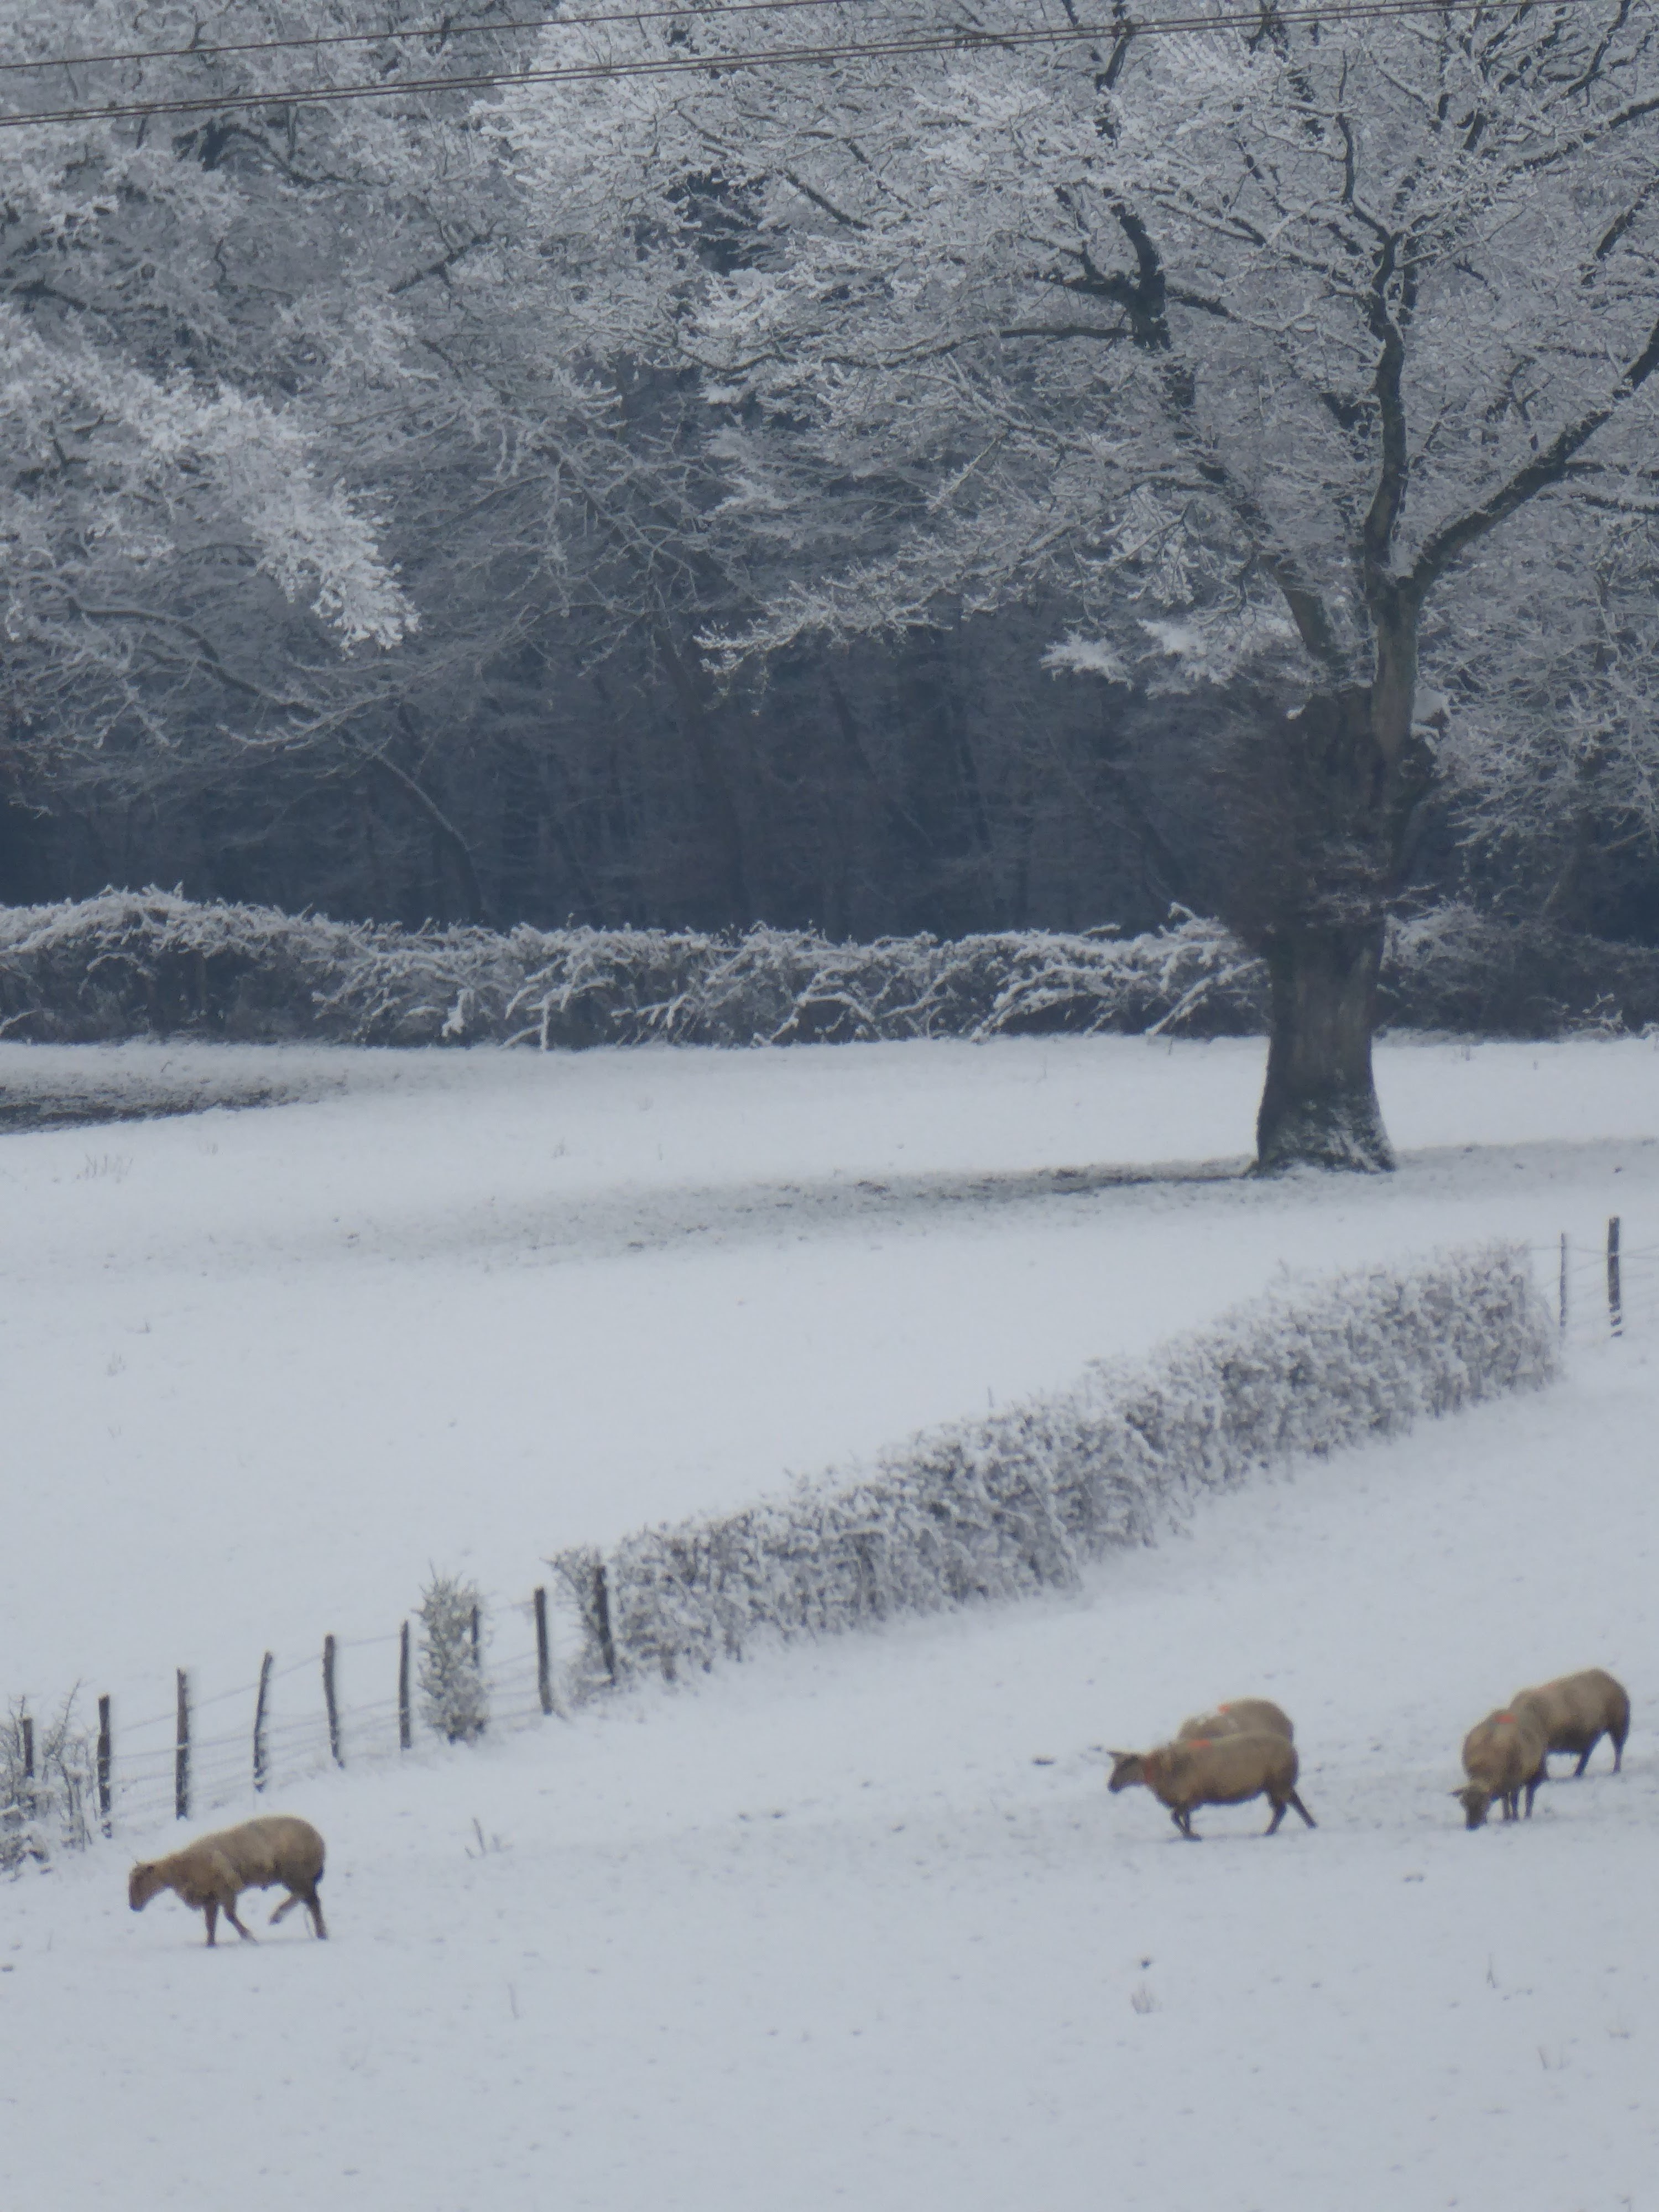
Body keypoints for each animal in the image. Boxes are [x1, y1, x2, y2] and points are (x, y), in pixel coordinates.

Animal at [128, 1814, 327, 1955]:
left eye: (139, 1880)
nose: (132, 1906)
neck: (180, 1868)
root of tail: (319, 1840)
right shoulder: (210, 1897)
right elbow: (210, 1924)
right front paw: (210, 1944)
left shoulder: (226, 1888)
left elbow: (229, 1916)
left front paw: (249, 1936)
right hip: (295, 1875)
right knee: (311, 1900)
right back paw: (319, 1932)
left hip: (294, 1872)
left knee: (308, 1897)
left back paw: (280, 1917)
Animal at [1110, 1734, 1318, 1840]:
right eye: (1116, 1764)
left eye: (1125, 1765)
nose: (1111, 1786)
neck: (1161, 1769)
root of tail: (1291, 1749)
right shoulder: (1186, 1798)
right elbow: (1184, 1818)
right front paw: (1191, 1834)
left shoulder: (1190, 1797)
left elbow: (1176, 1817)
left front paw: (1191, 1835)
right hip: (1276, 1784)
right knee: (1290, 1804)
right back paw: (1309, 1824)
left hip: (1277, 1782)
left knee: (1283, 1807)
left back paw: (1270, 1832)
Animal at [1451, 1708, 1548, 1832]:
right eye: (1464, 1804)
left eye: (1482, 1804)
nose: (1471, 1827)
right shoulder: (1502, 1783)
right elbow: (1505, 1801)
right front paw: (1502, 1818)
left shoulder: (1515, 1781)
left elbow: (1514, 1800)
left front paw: (1515, 1818)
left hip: (1535, 1772)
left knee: (1529, 1796)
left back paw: (1527, 1816)